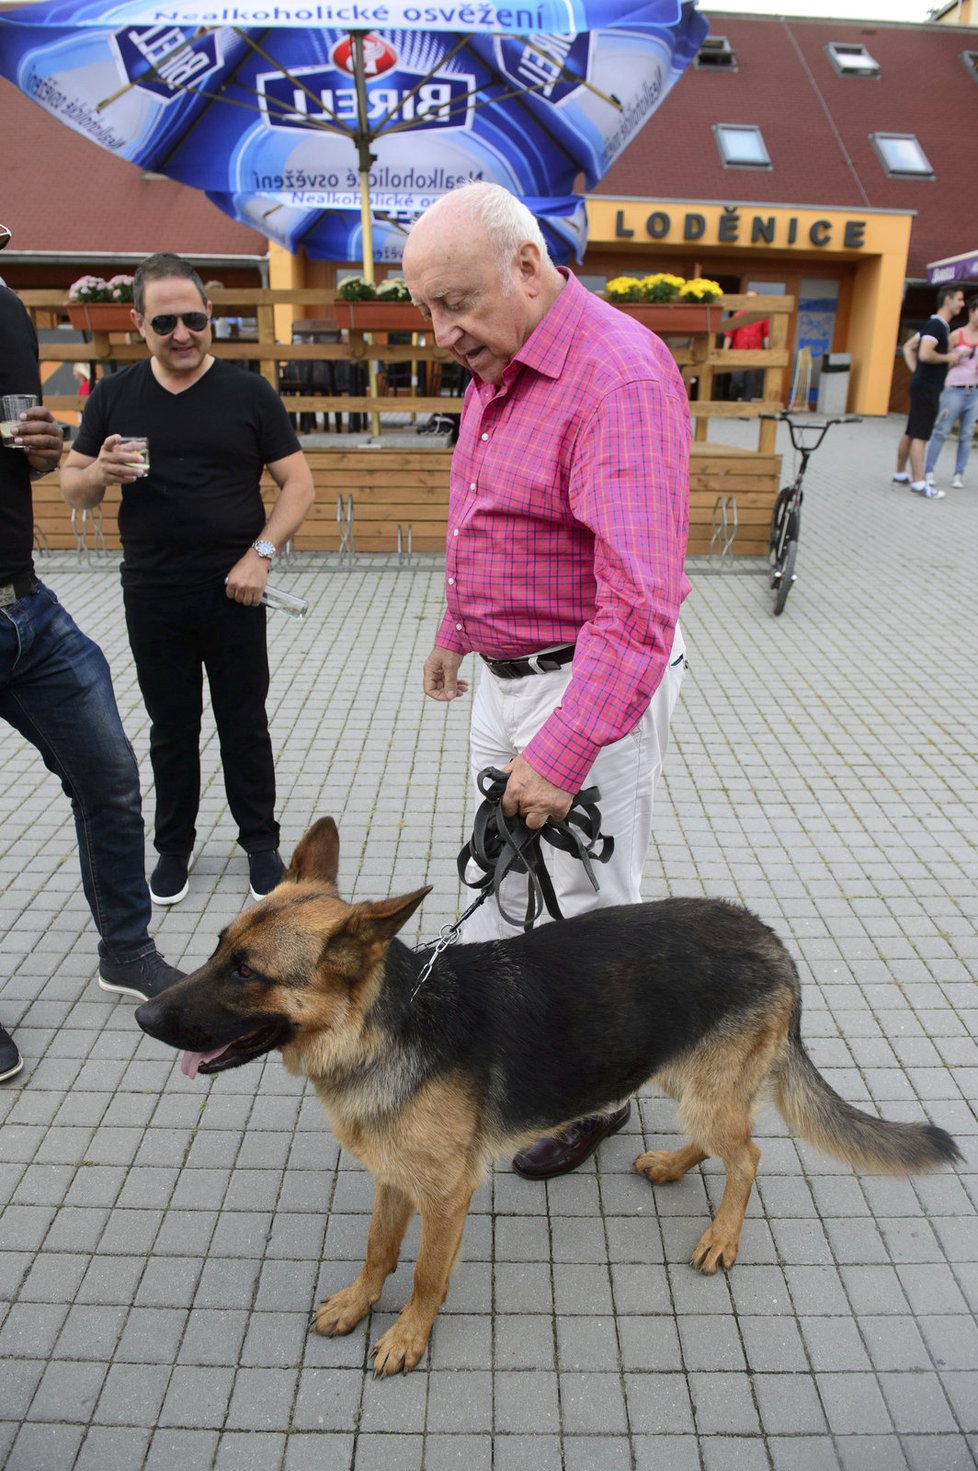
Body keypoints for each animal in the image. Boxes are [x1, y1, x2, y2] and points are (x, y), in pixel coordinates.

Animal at [137, 823, 958, 1370]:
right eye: (218, 947)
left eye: (247, 972)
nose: (145, 1018)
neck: (385, 1024)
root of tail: (774, 939)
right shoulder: (395, 1178)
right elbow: (378, 1250)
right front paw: (359, 1300)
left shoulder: (447, 1195)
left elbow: (426, 1275)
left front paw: (406, 1334)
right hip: (678, 1073)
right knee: (726, 1140)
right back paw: (672, 1165)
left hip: (703, 1088)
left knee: (750, 1154)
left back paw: (722, 1235)